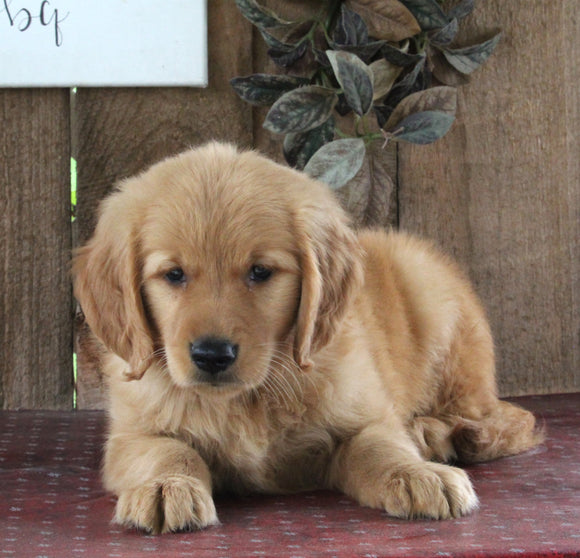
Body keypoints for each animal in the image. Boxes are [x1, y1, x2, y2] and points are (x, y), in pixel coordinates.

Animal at [73, 142, 544, 536]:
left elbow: (380, 446)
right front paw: (166, 486)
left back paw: (434, 434)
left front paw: (417, 474)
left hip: (437, 311)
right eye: (173, 275)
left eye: (260, 272)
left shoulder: (364, 413)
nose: (212, 354)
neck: (247, 401)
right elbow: (168, 451)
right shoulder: (132, 435)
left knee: (503, 416)